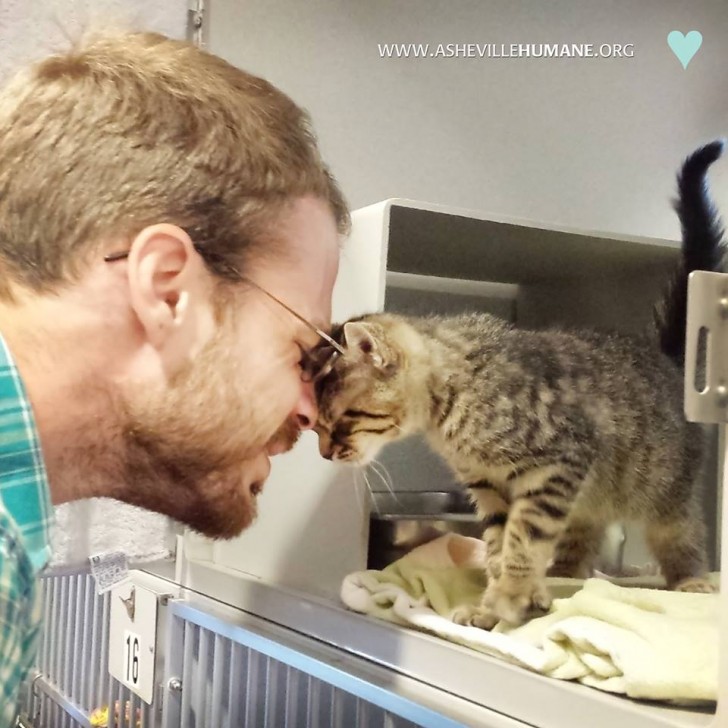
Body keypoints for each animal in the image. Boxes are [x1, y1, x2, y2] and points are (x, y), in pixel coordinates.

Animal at [316, 141, 724, 624]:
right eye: (315, 425)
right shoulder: (488, 487)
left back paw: (691, 580)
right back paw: (564, 575)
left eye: (342, 419)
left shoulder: (556, 464)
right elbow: (498, 541)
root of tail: (663, 358)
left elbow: (524, 538)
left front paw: (509, 595)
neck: (451, 405)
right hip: (589, 498)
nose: (326, 453)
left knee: (682, 532)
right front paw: (496, 601)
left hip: (663, 489)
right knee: (581, 538)